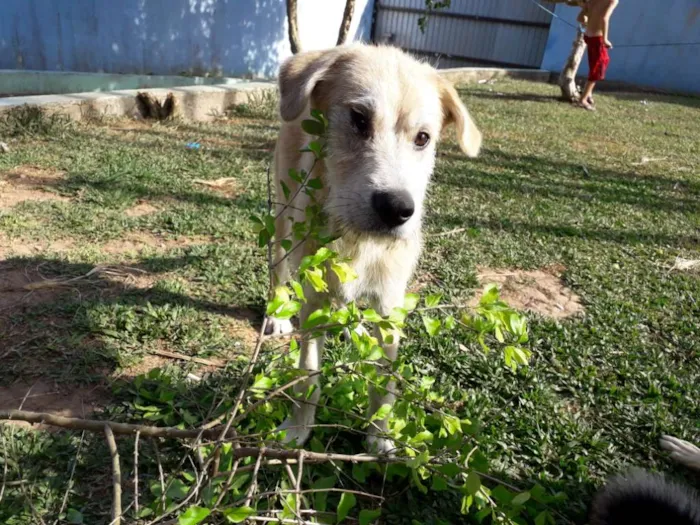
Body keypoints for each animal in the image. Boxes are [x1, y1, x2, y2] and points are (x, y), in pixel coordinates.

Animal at [266, 43, 482, 452]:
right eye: (359, 119)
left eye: (423, 138)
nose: (397, 209)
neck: (359, 240)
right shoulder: (313, 301)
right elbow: (308, 374)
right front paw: (298, 429)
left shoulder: (389, 306)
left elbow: (385, 381)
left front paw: (380, 438)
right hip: (284, 219)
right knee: (278, 269)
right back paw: (277, 314)